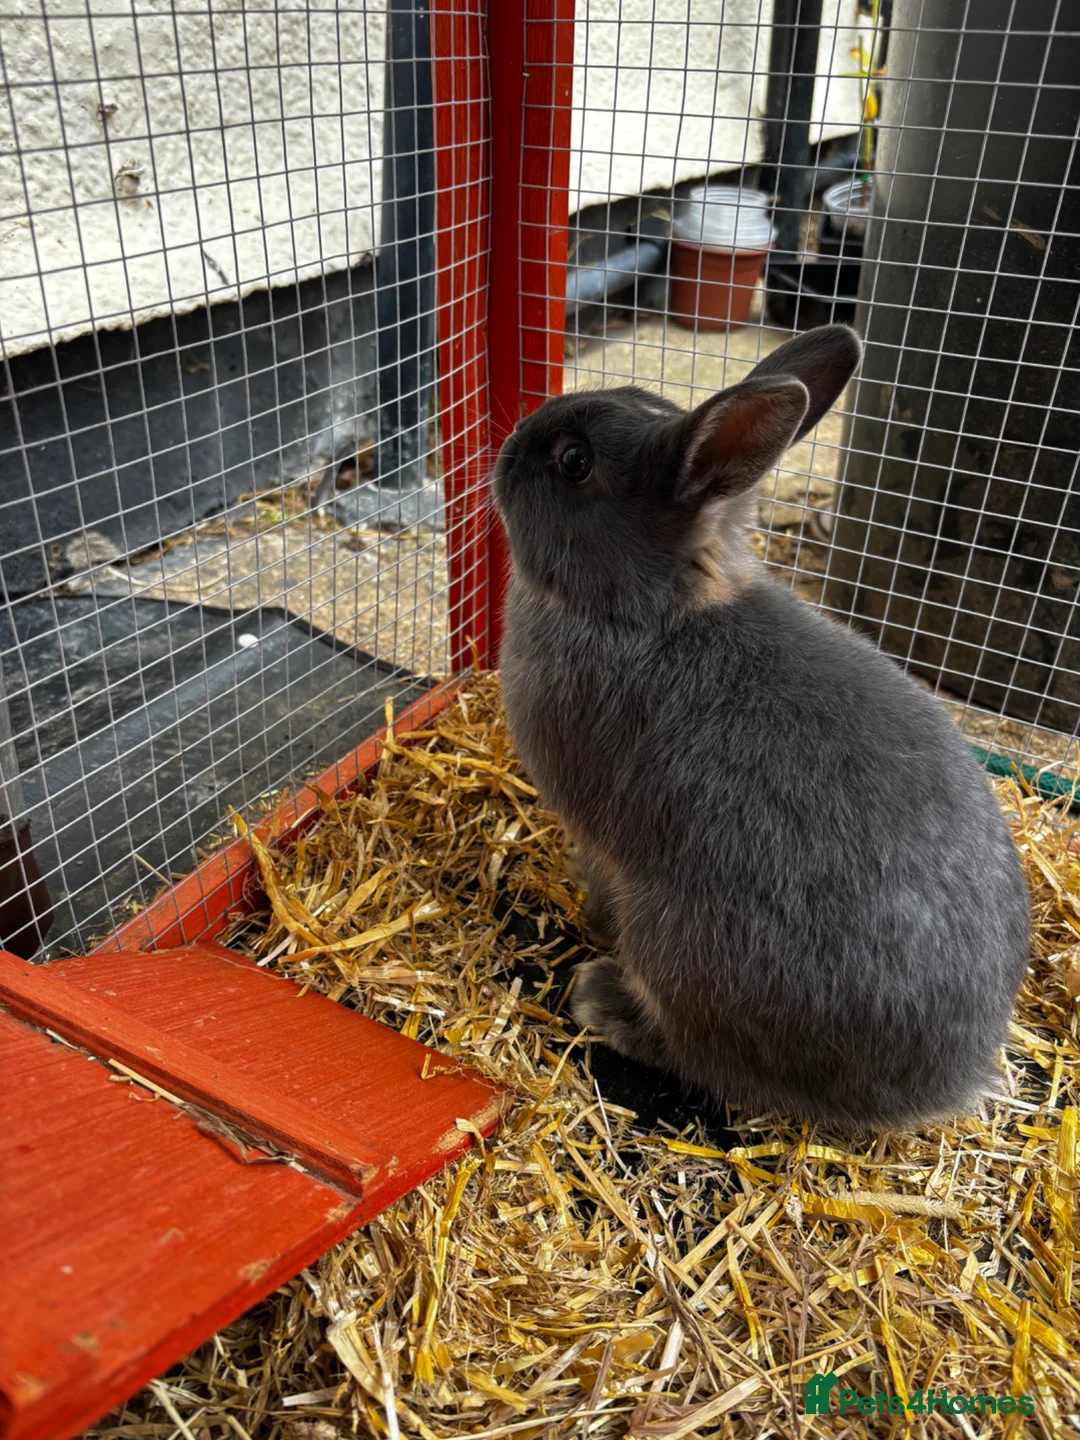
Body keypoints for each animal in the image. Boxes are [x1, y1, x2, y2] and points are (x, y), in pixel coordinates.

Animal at [493, 324, 1030, 1130]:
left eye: (574, 462)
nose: (507, 448)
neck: (643, 613)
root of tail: (946, 1085)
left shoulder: (599, 834)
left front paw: (588, 914)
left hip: (680, 948)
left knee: (703, 1057)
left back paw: (602, 999)